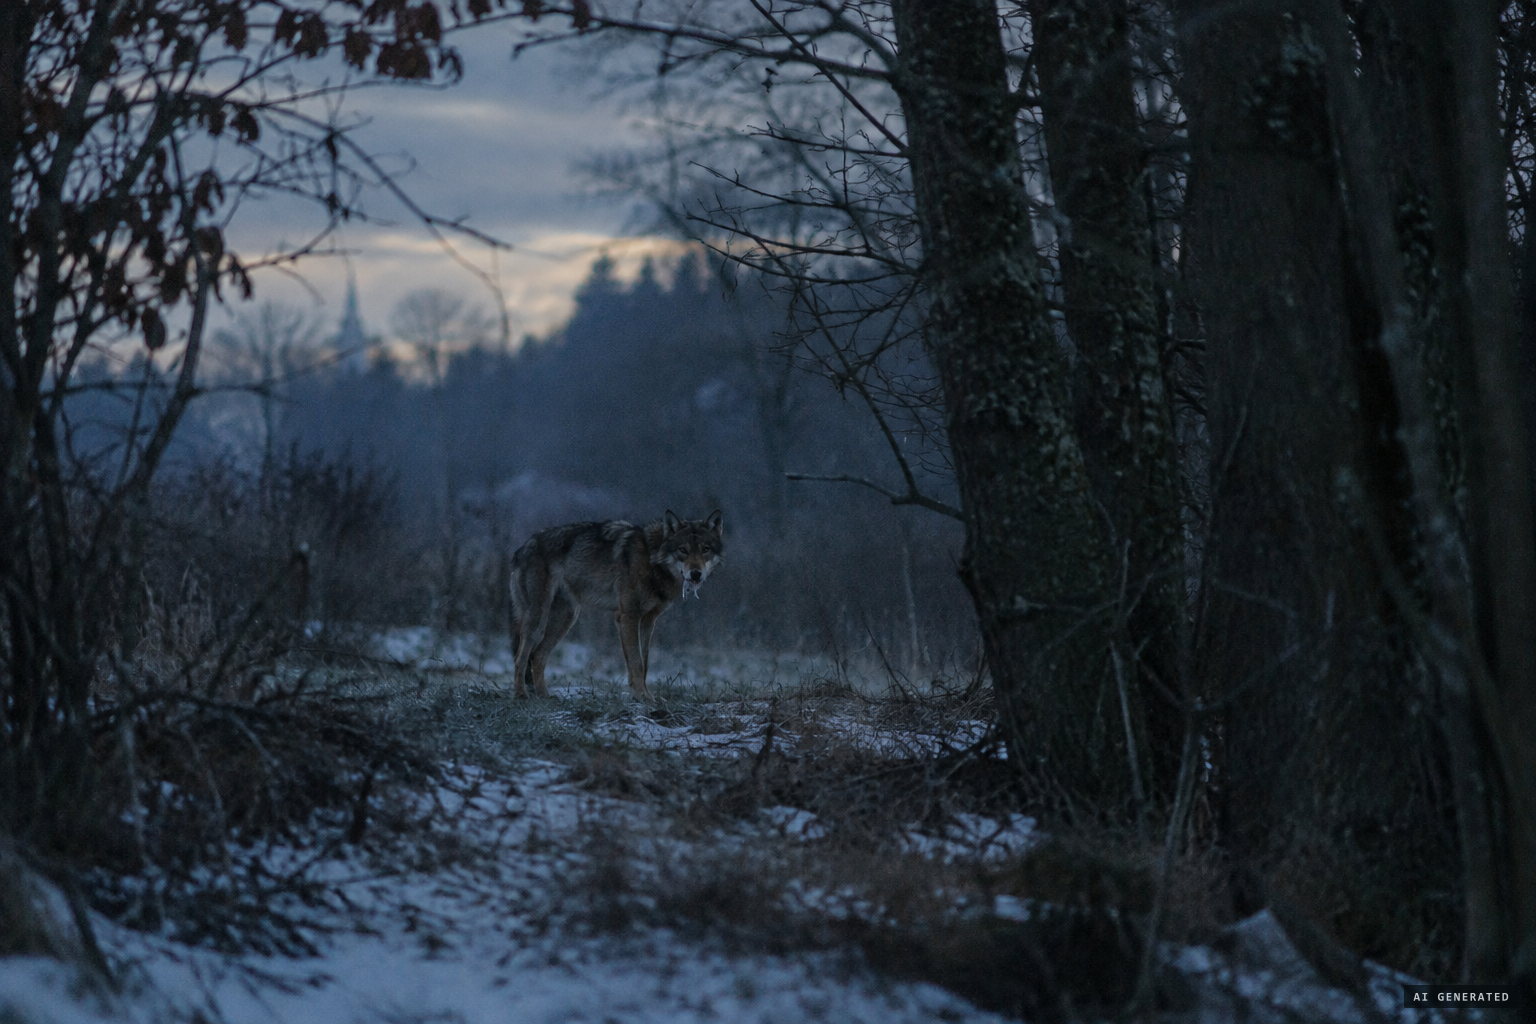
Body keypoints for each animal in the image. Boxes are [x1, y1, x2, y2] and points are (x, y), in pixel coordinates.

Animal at [509, 510, 723, 700]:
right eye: (683, 550)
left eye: (705, 549)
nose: (696, 573)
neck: (651, 559)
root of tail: (521, 547)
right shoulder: (628, 616)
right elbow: (636, 662)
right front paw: (642, 697)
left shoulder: (648, 621)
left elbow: (644, 663)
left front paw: (644, 696)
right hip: (538, 619)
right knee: (520, 657)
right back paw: (521, 694)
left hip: (566, 619)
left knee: (538, 656)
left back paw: (544, 696)